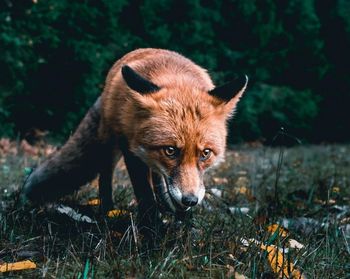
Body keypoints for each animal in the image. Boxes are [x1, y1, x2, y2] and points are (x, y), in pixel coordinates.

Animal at [23, 48, 247, 228]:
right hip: (110, 145)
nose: (189, 200)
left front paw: (185, 227)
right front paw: (152, 233)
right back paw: (108, 212)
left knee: (158, 179)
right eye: (170, 150)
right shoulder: (132, 149)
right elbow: (144, 195)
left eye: (205, 153)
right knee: (106, 178)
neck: (175, 76)